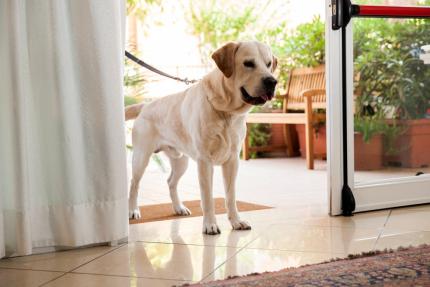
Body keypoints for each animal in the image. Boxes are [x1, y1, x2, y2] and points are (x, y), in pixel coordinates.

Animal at [126, 40, 278, 235]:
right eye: (248, 63)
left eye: (268, 64)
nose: (272, 81)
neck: (226, 111)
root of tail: (145, 105)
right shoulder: (205, 161)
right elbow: (207, 198)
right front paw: (210, 224)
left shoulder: (232, 161)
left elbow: (230, 196)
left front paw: (236, 221)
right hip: (141, 157)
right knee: (133, 184)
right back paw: (133, 210)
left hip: (181, 161)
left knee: (171, 182)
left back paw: (179, 207)